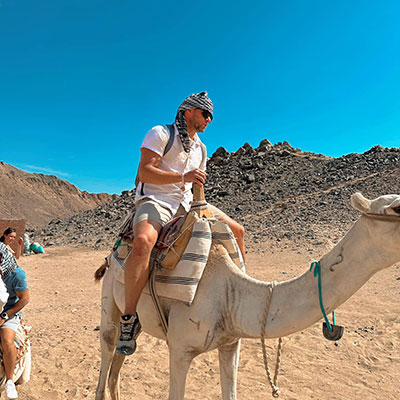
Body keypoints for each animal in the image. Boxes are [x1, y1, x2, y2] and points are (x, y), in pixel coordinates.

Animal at [94, 192, 400, 398]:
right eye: (396, 206)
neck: (230, 293)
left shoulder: (231, 344)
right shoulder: (180, 349)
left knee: (116, 369)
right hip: (109, 302)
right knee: (107, 354)